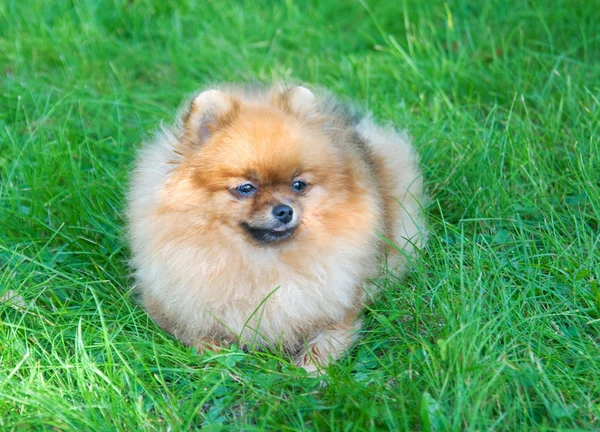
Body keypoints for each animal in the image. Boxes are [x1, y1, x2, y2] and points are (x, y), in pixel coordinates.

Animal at [127, 84, 426, 372]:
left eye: (298, 185)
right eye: (246, 188)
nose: (284, 210)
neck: (262, 262)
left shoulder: (342, 307)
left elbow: (325, 341)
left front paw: (308, 370)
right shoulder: (171, 309)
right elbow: (203, 340)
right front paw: (227, 363)